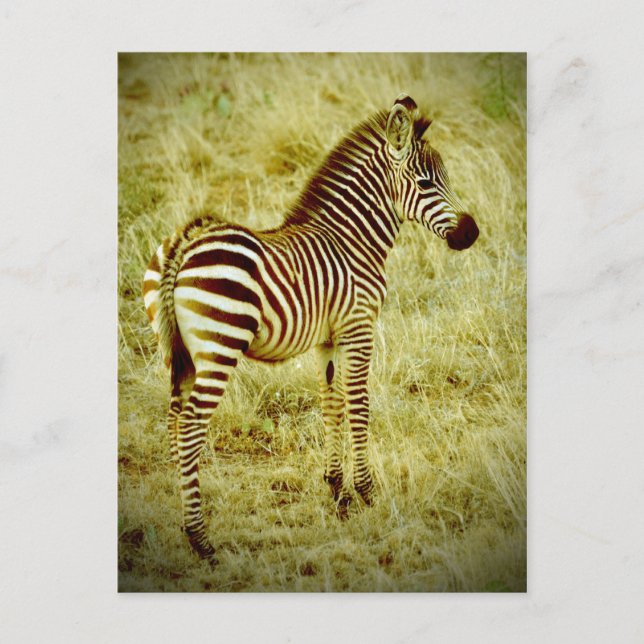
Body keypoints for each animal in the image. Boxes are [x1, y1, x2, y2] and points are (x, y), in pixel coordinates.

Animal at [142, 93, 479, 563]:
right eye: (427, 183)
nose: (471, 233)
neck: (352, 240)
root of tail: (183, 243)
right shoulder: (359, 328)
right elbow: (359, 406)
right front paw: (367, 492)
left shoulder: (328, 340)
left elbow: (331, 405)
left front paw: (338, 492)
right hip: (219, 348)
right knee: (190, 427)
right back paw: (201, 540)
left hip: (177, 353)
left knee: (174, 422)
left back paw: (185, 527)